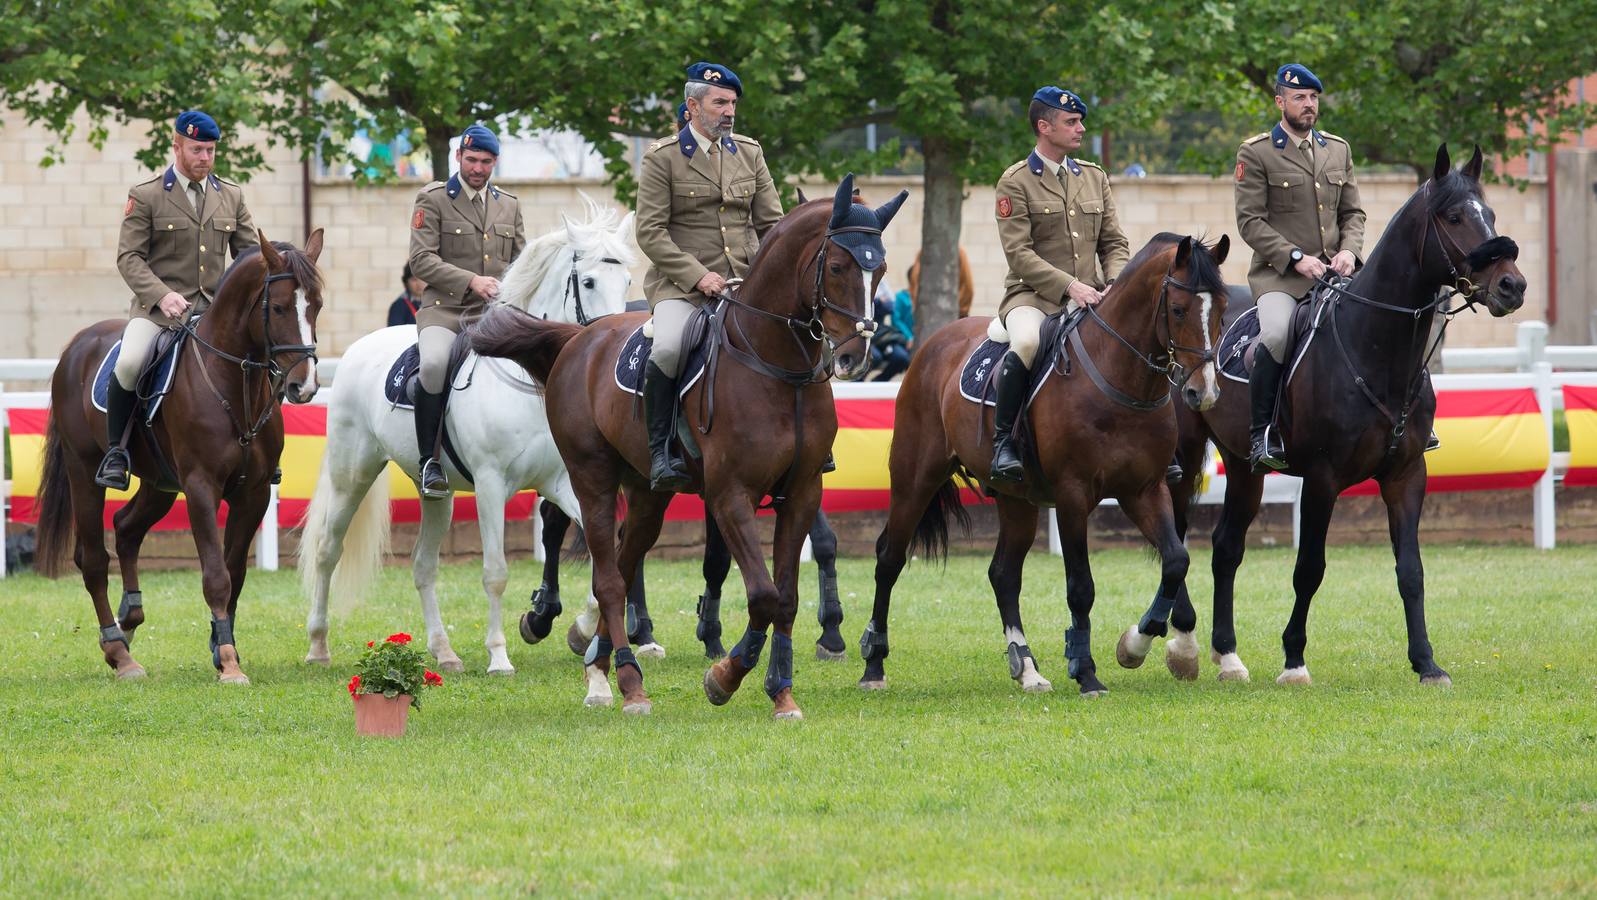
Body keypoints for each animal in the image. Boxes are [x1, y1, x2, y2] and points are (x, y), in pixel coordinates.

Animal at [35, 229, 324, 682]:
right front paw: (229, 662)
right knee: (94, 560)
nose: (304, 386)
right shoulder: (202, 487)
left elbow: (235, 572)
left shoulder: (253, 493)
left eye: (317, 305)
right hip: (84, 470)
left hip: (160, 483)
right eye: (277, 307)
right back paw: (119, 652)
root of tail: (78, 344)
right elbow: (216, 576)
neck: (234, 383)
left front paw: (222, 646)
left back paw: (130, 618)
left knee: (126, 528)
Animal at [298, 200, 629, 679]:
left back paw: (444, 651)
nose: (609, 342)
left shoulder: (562, 483)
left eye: (628, 280)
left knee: (423, 565)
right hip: (351, 476)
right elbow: (496, 572)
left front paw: (578, 629)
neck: (530, 380)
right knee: (328, 550)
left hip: (436, 494)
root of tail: (359, 349)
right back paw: (318, 645)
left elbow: (604, 551)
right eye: (588, 281)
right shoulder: (491, 486)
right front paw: (499, 656)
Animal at [466, 179, 907, 721]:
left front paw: (781, 691)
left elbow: (785, 596)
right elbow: (762, 594)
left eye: (880, 269)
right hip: (591, 478)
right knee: (606, 576)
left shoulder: (802, 492)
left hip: (648, 494)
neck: (777, 365)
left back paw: (600, 668)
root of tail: (580, 337)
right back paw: (628, 684)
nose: (852, 356)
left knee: (622, 564)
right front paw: (725, 676)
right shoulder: (730, 495)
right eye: (841, 266)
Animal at [855, 231, 1226, 695]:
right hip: (914, 479)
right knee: (889, 558)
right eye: (1177, 310)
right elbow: (1080, 587)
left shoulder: (1145, 489)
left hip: (1017, 499)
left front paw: (1136, 644)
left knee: (1003, 574)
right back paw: (873, 665)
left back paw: (1027, 667)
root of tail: (936, 343)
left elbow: (1176, 560)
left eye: (1223, 309)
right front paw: (1086, 671)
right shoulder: (1072, 496)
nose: (1203, 393)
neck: (1118, 379)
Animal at [1169, 144, 1526, 686]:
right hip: (1186, 455)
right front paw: (1294, 660)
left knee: (1227, 547)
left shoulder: (1406, 475)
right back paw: (1180, 643)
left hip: (1244, 465)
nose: (1512, 285)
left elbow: (1411, 571)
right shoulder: (1322, 478)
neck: (1373, 349)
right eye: (1455, 217)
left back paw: (1227, 654)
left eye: (1491, 213)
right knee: (1177, 535)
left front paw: (1426, 662)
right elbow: (1309, 569)